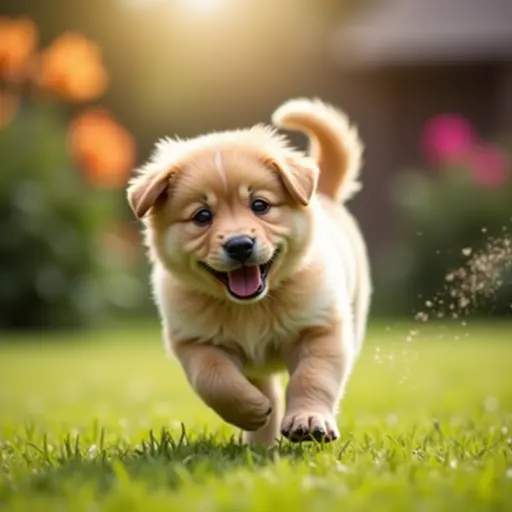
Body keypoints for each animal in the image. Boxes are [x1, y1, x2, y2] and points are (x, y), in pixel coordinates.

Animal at [126, 98, 370, 446]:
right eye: (202, 216)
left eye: (260, 205)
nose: (240, 245)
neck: (251, 308)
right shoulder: (194, 341)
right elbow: (214, 379)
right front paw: (252, 409)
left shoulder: (323, 328)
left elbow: (312, 377)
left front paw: (308, 420)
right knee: (264, 386)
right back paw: (260, 442)